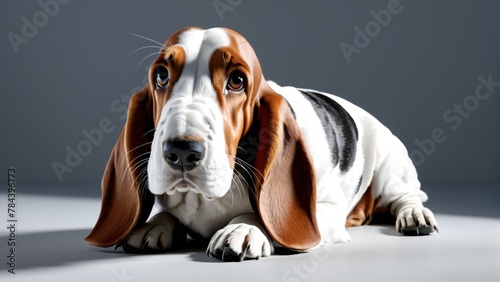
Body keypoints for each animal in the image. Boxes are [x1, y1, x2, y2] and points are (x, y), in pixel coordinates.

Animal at [86, 27, 438, 262]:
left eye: (237, 81)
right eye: (161, 75)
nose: (183, 151)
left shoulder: (325, 209)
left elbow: (262, 215)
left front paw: (243, 229)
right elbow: (167, 213)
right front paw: (154, 225)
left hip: (391, 169)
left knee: (409, 196)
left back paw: (414, 217)